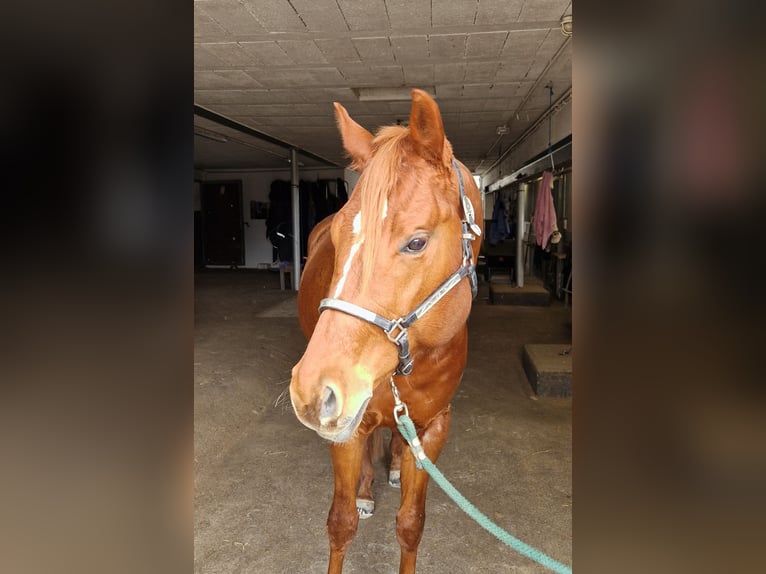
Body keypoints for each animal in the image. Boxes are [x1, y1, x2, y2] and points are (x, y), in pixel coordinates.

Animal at [292, 90, 484, 574]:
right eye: (338, 240)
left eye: (416, 242)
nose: (312, 392)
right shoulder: (348, 428)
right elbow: (340, 522)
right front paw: (358, 498)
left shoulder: (434, 427)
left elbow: (411, 525)